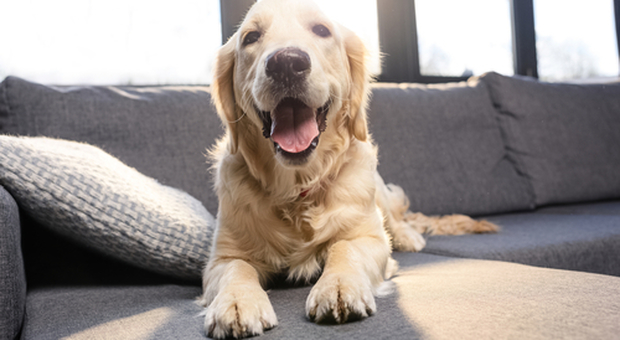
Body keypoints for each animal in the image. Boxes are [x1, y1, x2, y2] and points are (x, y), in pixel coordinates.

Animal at [199, 0, 498, 338]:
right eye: (251, 37)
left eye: (321, 30)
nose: (286, 63)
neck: (297, 189)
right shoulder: (222, 257)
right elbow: (236, 268)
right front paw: (236, 302)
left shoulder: (368, 236)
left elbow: (345, 247)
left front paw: (338, 286)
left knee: (397, 219)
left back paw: (409, 236)